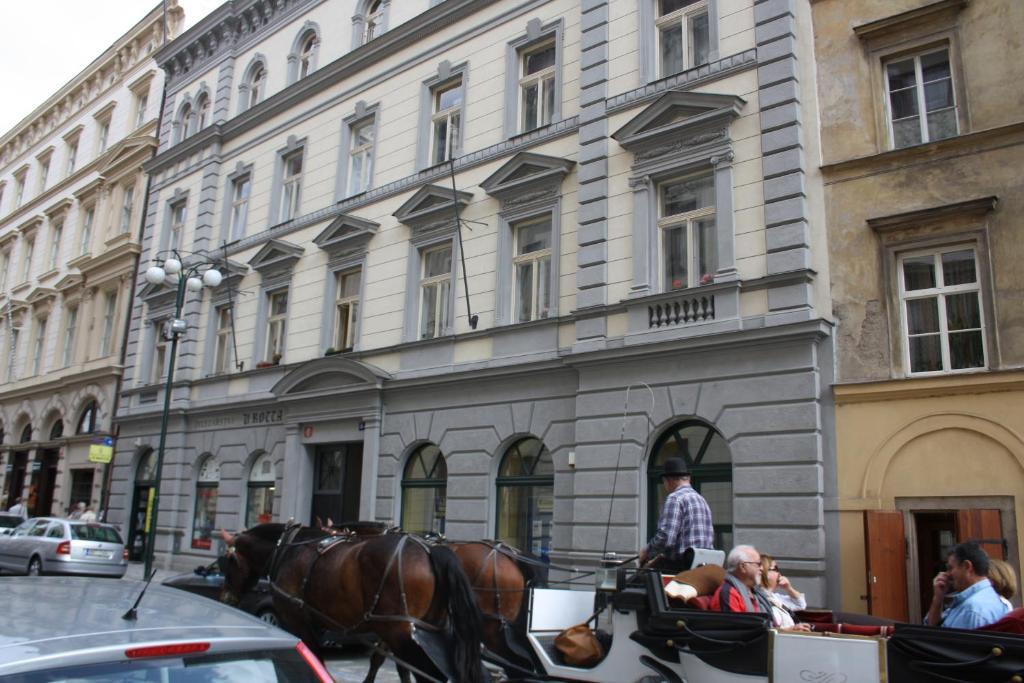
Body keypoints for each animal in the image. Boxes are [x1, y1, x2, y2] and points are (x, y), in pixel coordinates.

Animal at [220, 524, 483, 683]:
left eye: (228, 561)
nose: (225, 598)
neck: (285, 550)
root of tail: (430, 550)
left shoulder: (295, 619)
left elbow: (313, 657)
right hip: (426, 631)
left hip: (401, 632)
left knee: (426, 673)